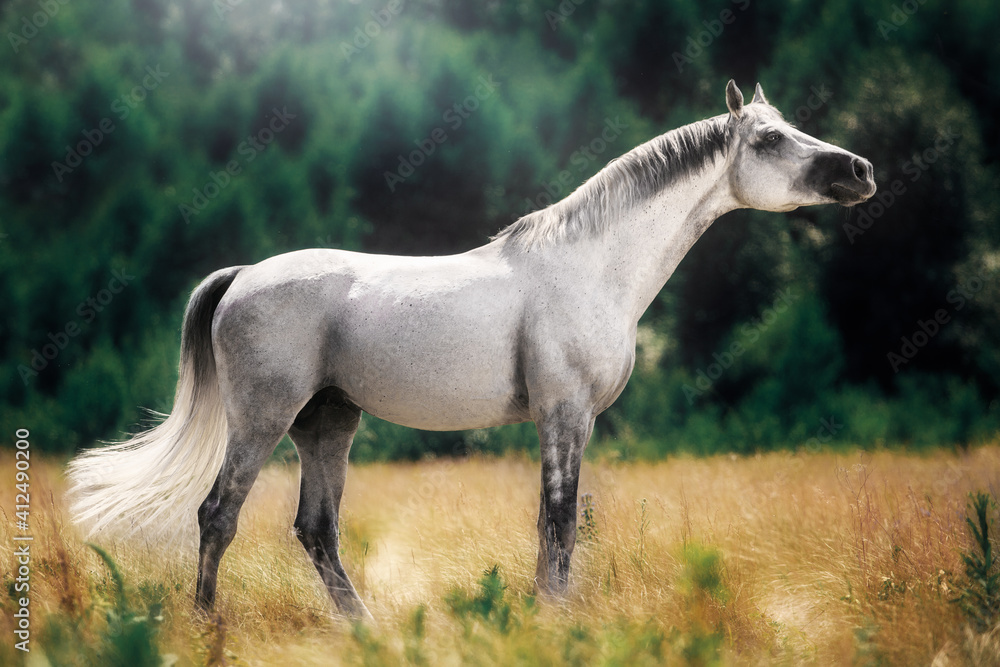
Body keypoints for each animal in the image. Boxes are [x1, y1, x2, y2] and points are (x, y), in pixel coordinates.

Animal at [67, 80, 875, 620]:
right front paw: (554, 618)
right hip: (263, 418)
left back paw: (363, 627)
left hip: (328, 422)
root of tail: (243, 277)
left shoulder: (577, 420)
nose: (860, 171)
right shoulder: (563, 413)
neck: (589, 266)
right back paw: (209, 621)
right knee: (218, 514)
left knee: (316, 529)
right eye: (768, 140)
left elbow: (562, 522)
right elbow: (557, 518)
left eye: (791, 126)